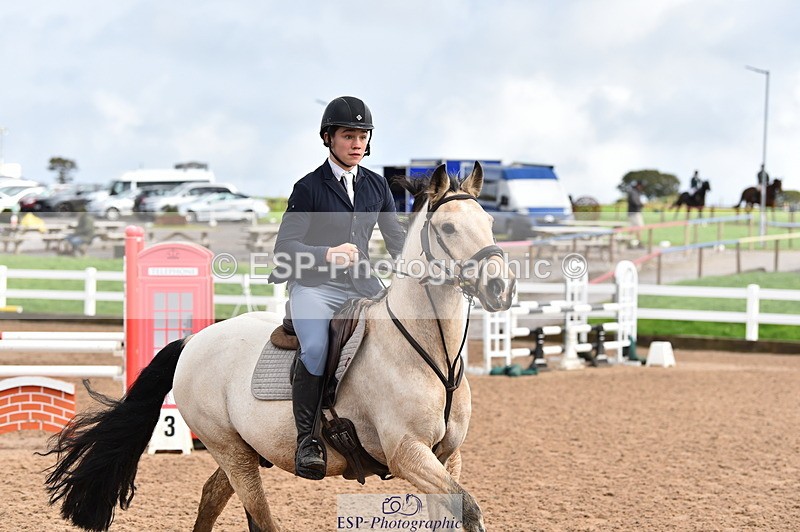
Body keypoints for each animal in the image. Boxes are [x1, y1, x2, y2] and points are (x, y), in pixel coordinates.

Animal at [41, 162, 516, 532]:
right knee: (257, 513)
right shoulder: (407, 454)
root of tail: (195, 340)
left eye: (491, 224)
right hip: (230, 448)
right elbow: (471, 509)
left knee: (213, 496)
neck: (432, 354)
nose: (501, 288)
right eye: (449, 227)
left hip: (241, 449)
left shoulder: (446, 457)